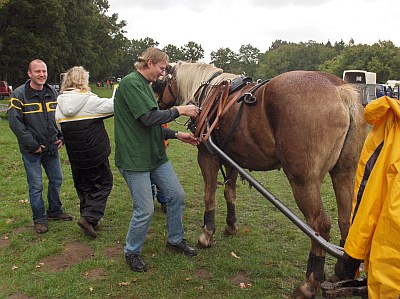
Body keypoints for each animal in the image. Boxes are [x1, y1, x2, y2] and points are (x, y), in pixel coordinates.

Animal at [157, 61, 368, 299]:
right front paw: (231, 225)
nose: (156, 103)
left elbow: (209, 195)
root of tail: (340, 91)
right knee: (346, 220)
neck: (211, 93)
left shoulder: (207, 155)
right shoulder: (231, 157)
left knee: (319, 227)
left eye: (162, 81)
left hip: (304, 181)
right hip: (345, 172)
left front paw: (206, 234)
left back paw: (309, 284)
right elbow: (229, 193)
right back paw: (340, 273)